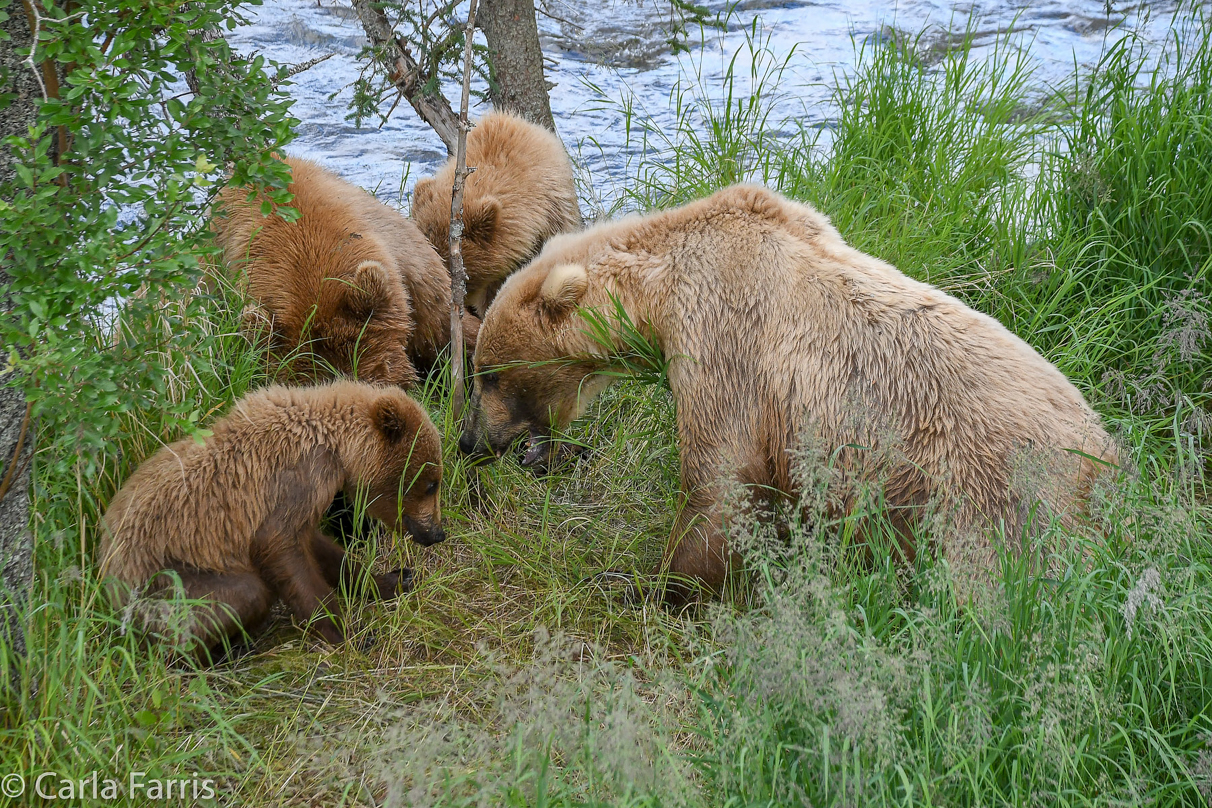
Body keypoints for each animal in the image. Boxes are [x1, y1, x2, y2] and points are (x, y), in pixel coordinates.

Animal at [458, 182, 1119, 600]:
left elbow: (722, 479)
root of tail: (1106, 450)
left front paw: (647, 583)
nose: (470, 440)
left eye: (488, 374)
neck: (659, 292)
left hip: (993, 494)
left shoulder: (724, 339)